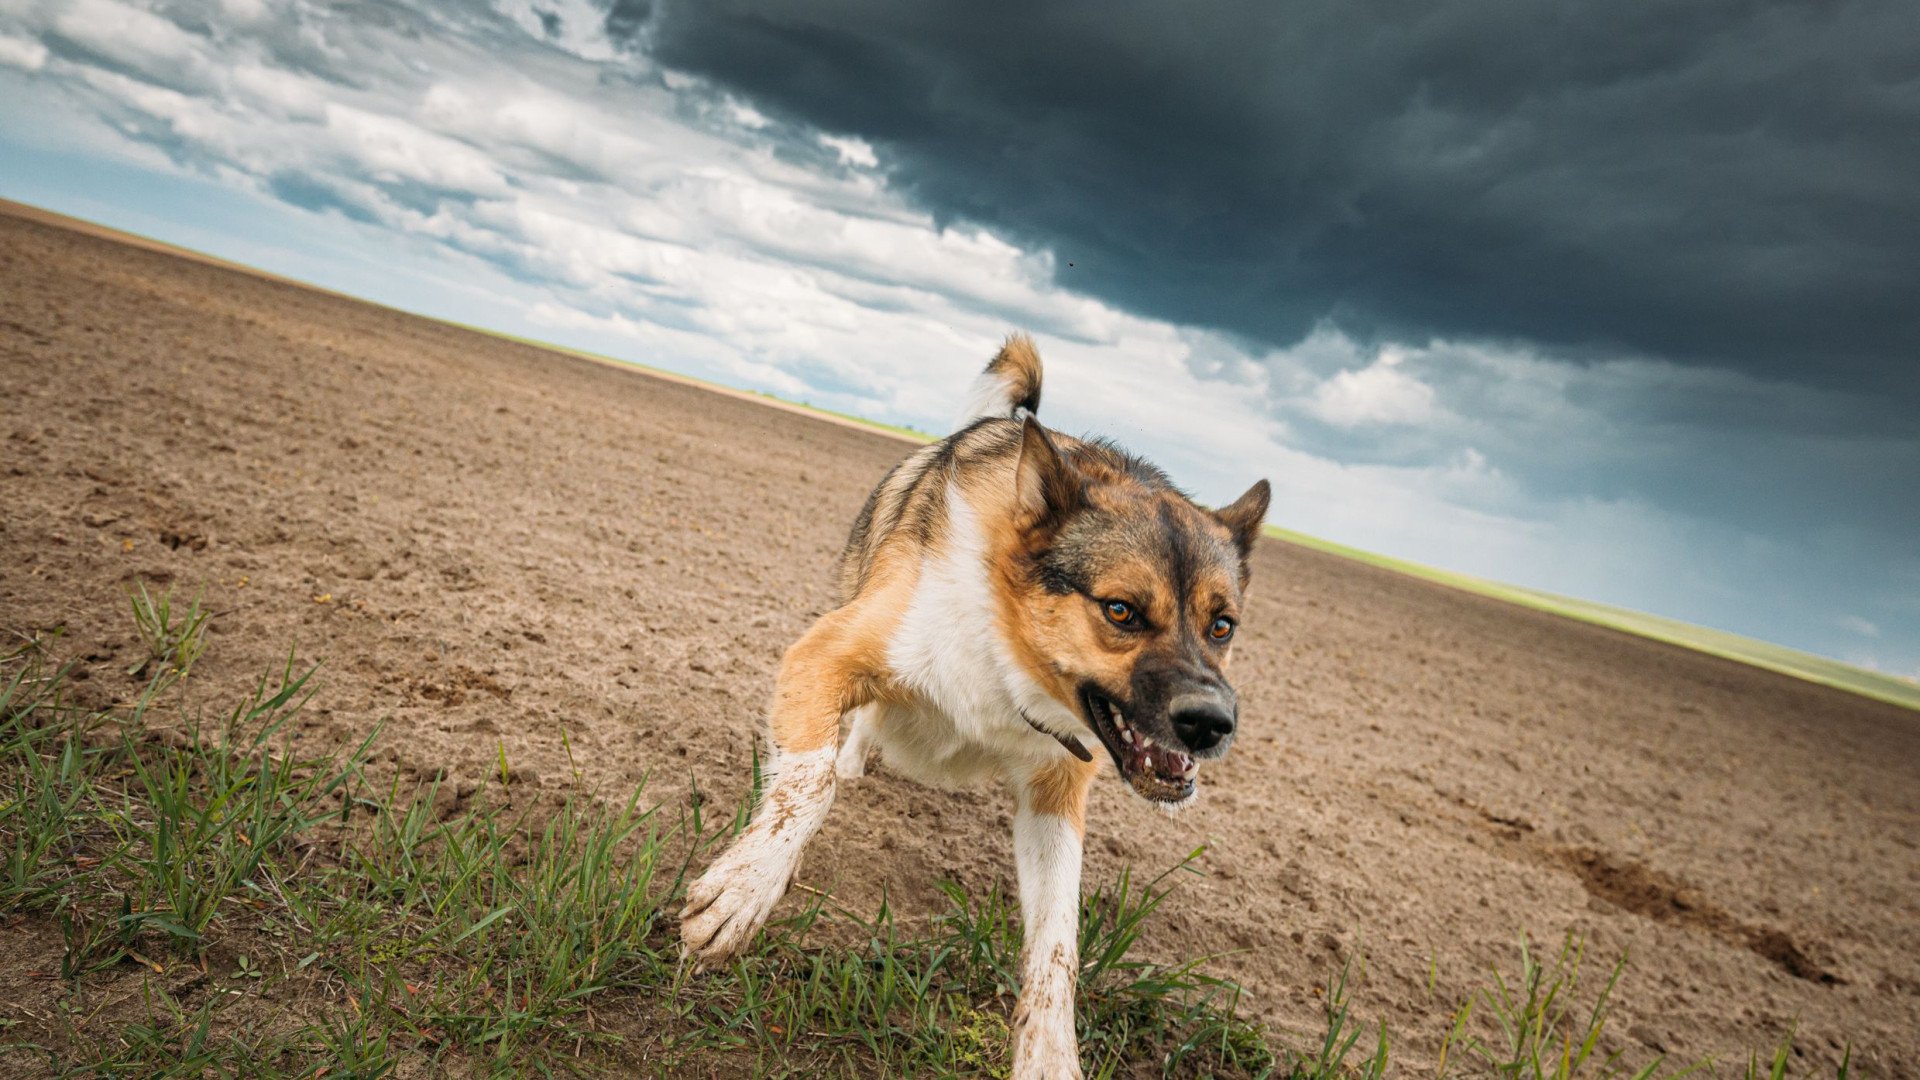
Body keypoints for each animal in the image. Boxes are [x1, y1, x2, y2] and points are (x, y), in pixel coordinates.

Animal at [683, 332, 1267, 1068]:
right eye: (1121, 611)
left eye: (1223, 625)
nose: (1214, 724)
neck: (1006, 649)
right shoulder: (823, 655)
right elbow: (807, 786)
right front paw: (746, 889)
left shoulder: (1056, 790)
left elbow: (1059, 939)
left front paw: (1049, 1055)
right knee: (846, 739)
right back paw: (847, 766)